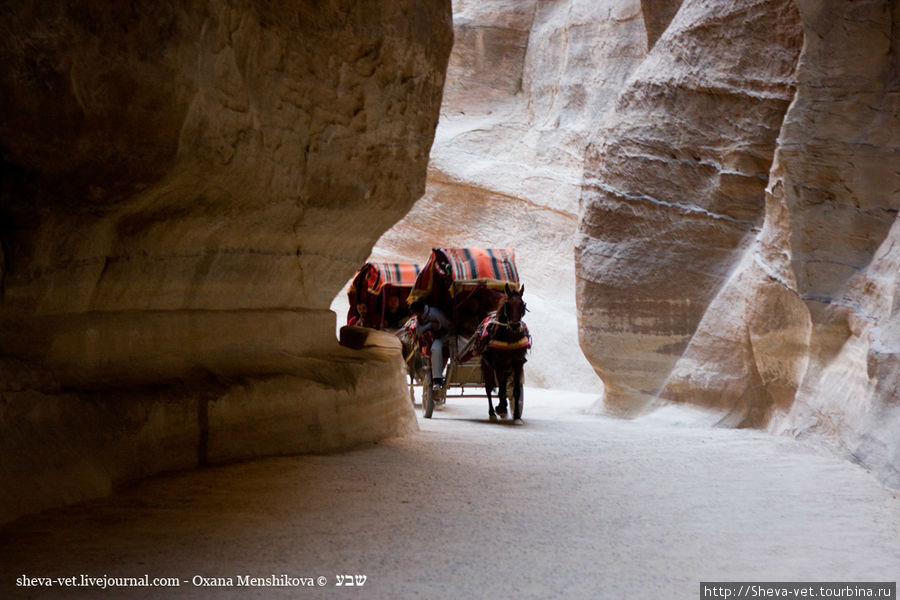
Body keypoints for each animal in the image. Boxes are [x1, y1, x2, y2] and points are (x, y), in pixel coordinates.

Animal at [482, 284, 532, 422]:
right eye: (507, 305)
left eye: (522, 305)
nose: (515, 325)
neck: (510, 338)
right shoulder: (498, 365)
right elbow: (501, 391)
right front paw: (501, 408)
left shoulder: (518, 363)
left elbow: (515, 390)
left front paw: (516, 415)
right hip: (487, 366)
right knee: (489, 388)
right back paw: (492, 413)